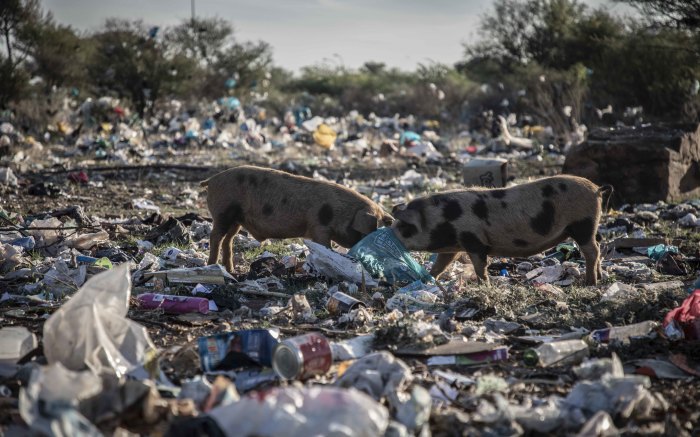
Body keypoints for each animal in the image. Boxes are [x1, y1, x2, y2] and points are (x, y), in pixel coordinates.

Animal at [201, 164, 394, 270]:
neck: (342, 212)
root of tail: (211, 180)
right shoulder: (319, 226)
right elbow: (325, 246)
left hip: (236, 219)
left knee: (228, 240)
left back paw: (230, 270)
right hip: (223, 211)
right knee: (215, 237)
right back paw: (211, 266)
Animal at [392, 175, 608, 284]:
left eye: (404, 227)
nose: (391, 235)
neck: (442, 219)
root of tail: (597, 189)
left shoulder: (474, 240)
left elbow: (480, 266)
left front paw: (483, 285)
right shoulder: (454, 246)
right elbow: (441, 265)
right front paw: (428, 279)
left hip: (582, 223)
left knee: (592, 251)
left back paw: (590, 282)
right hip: (588, 226)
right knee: (598, 248)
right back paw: (599, 277)